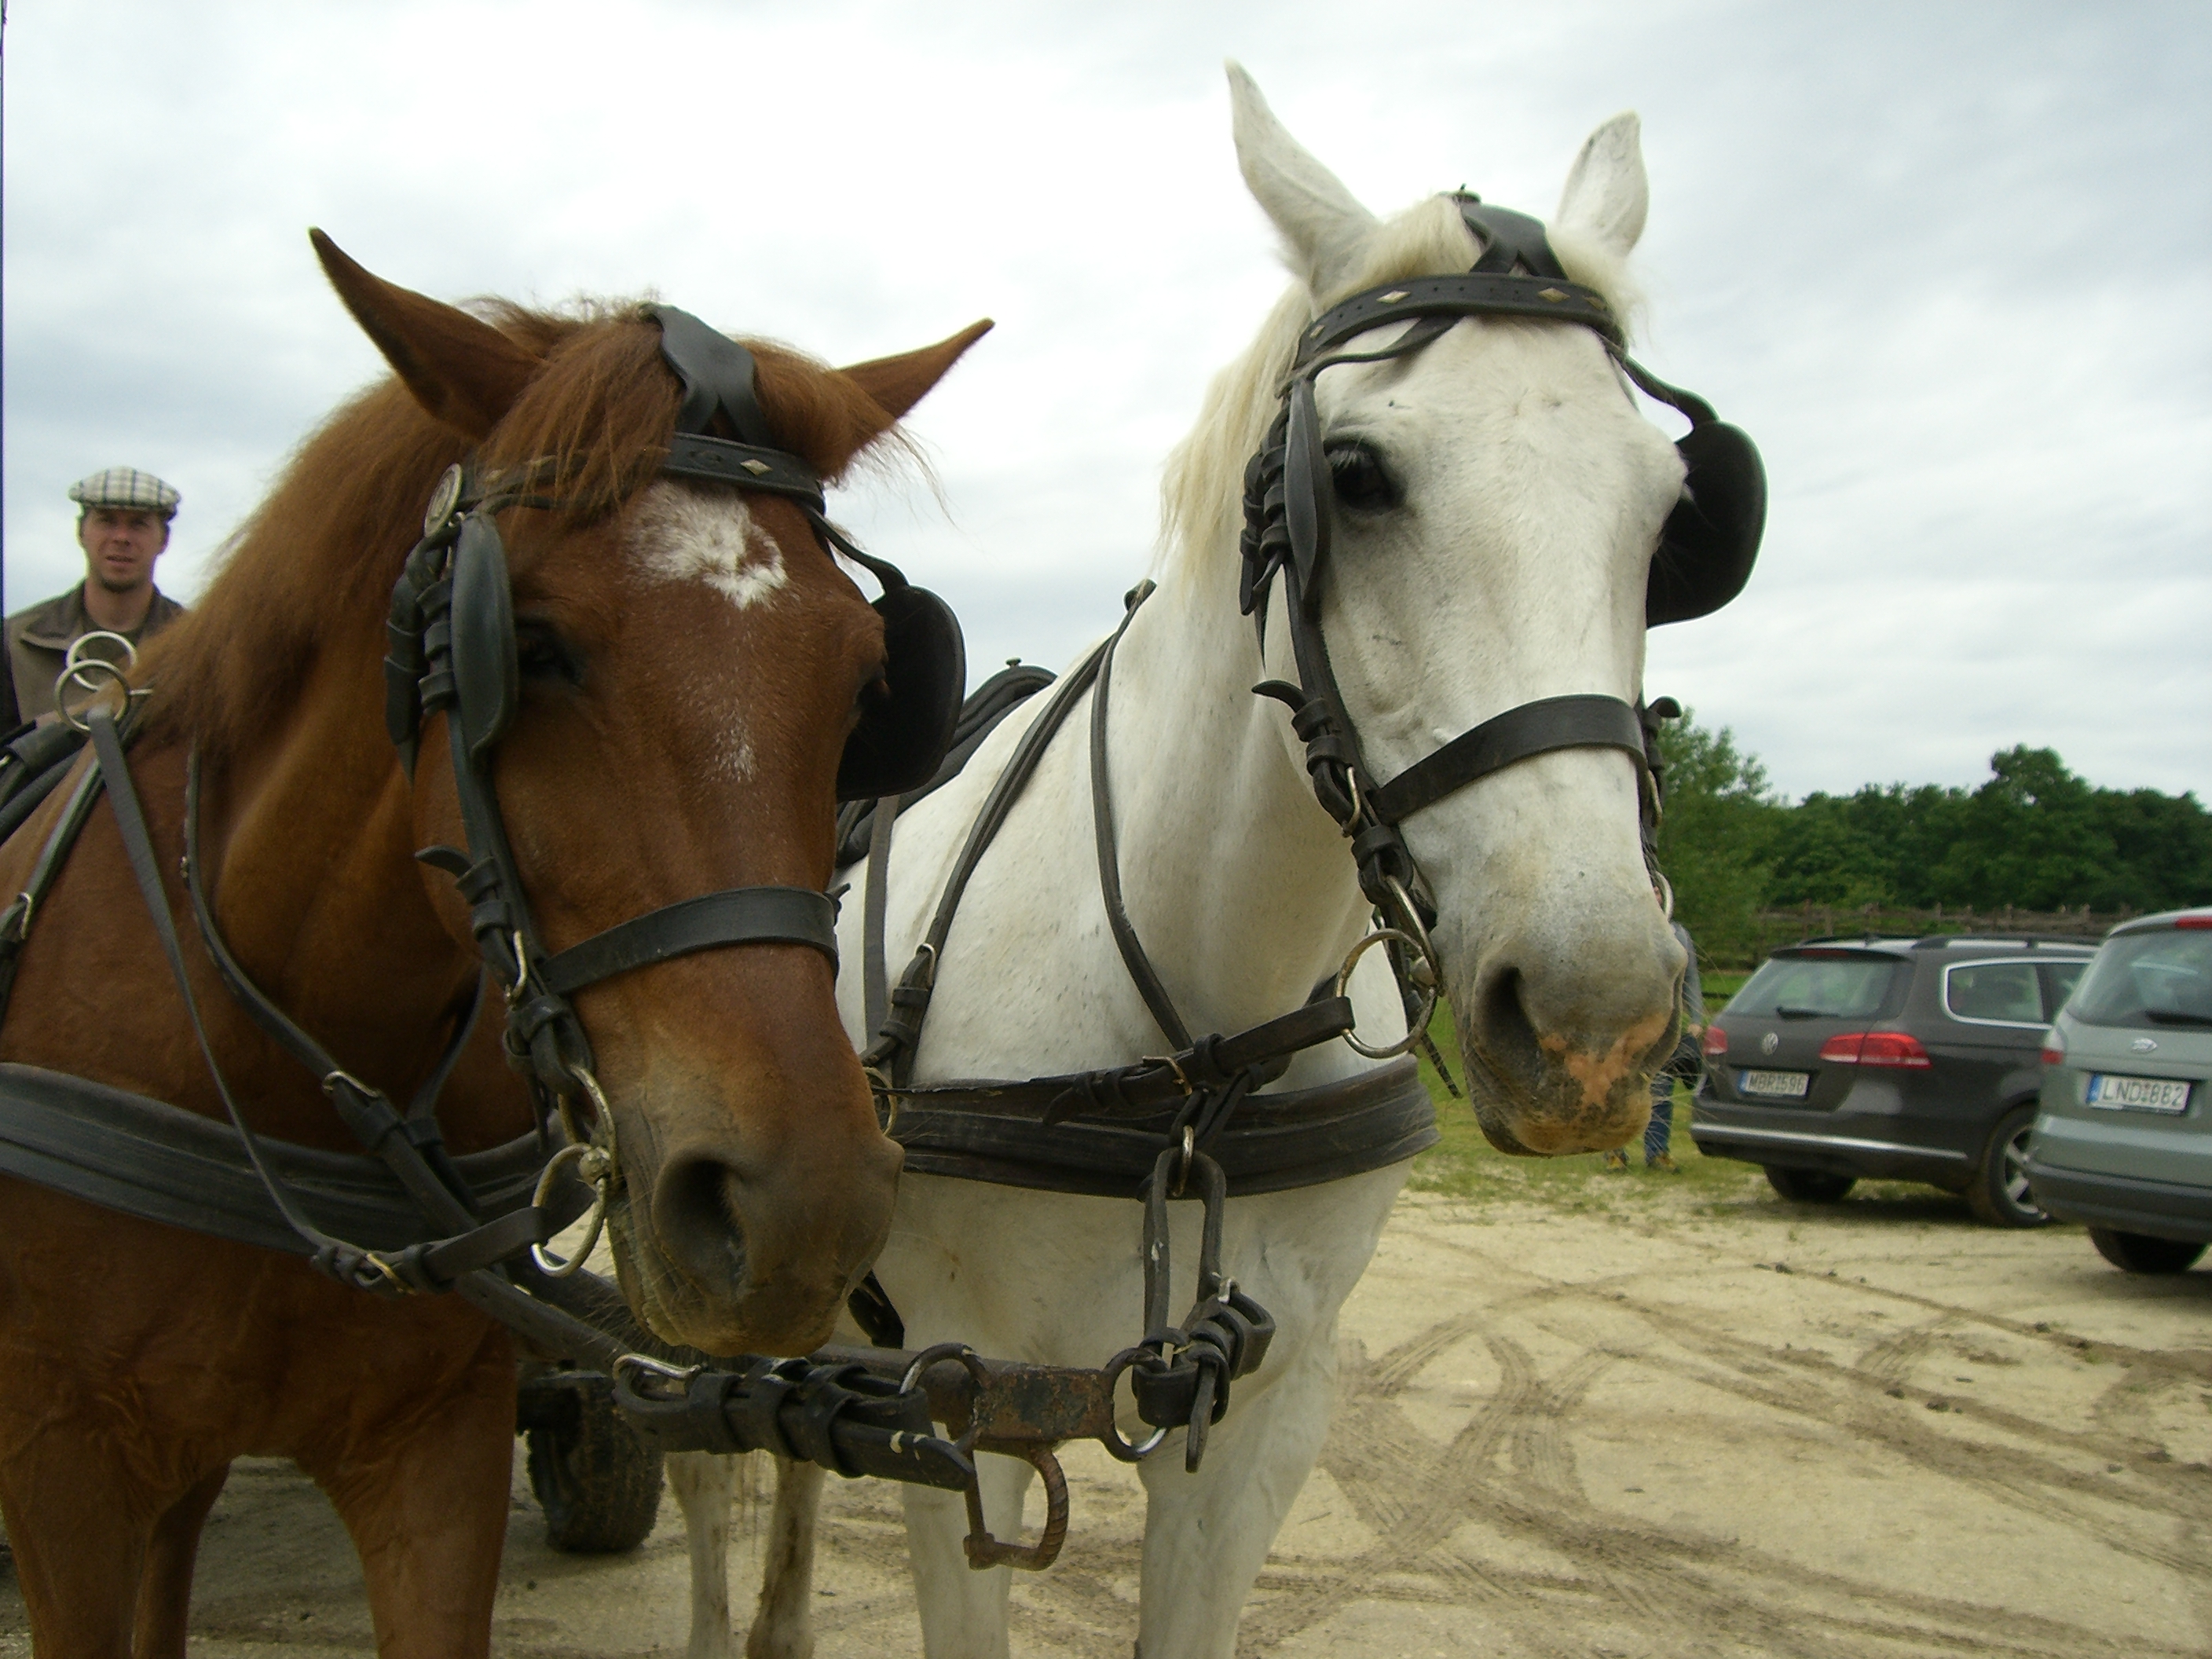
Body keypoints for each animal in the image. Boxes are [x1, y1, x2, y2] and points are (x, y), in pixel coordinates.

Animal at [681, 64, 1698, 1659]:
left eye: (1671, 512)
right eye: (1355, 474)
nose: (1596, 1019)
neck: (1188, 1057)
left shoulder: (1267, 1407)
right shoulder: (958, 1408)